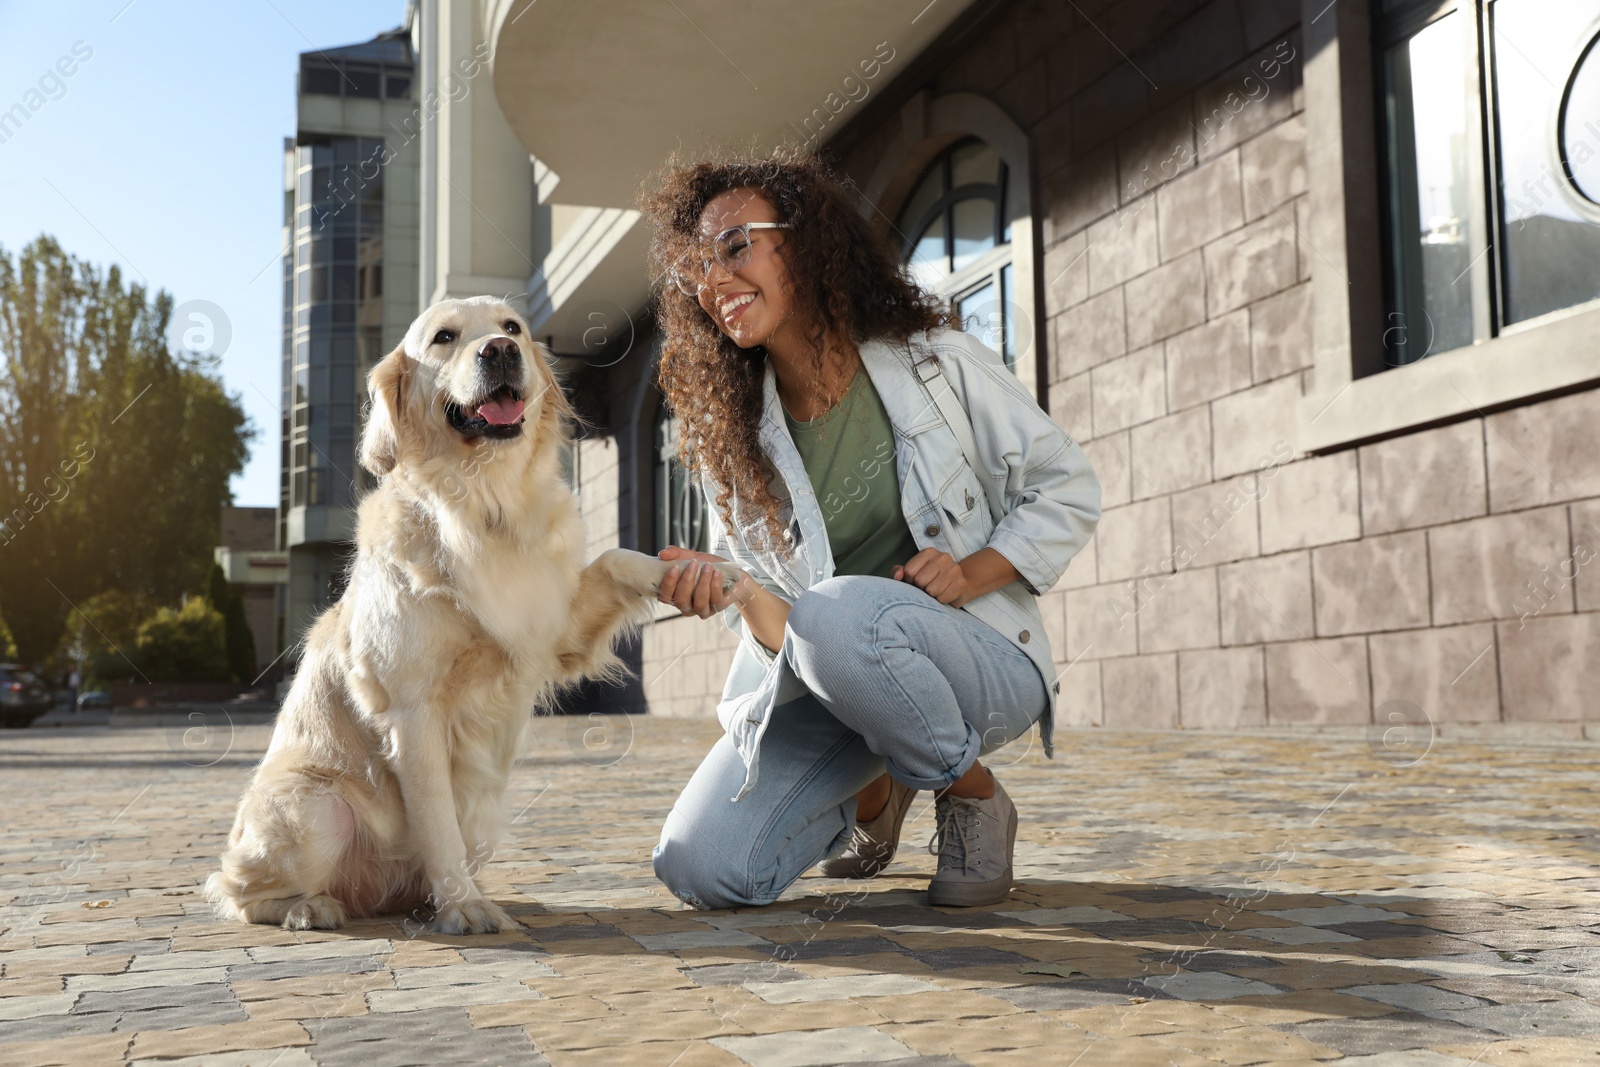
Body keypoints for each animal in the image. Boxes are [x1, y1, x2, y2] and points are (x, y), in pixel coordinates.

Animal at [201, 295, 742, 927]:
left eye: (513, 328)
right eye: (443, 337)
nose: (501, 351)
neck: (485, 505)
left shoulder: (550, 623)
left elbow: (615, 558)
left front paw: (709, 573)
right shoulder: (413, 712)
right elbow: (438, 821)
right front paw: (466, 908)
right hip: (318, 808)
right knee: (236, 890)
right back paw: (311, 908)